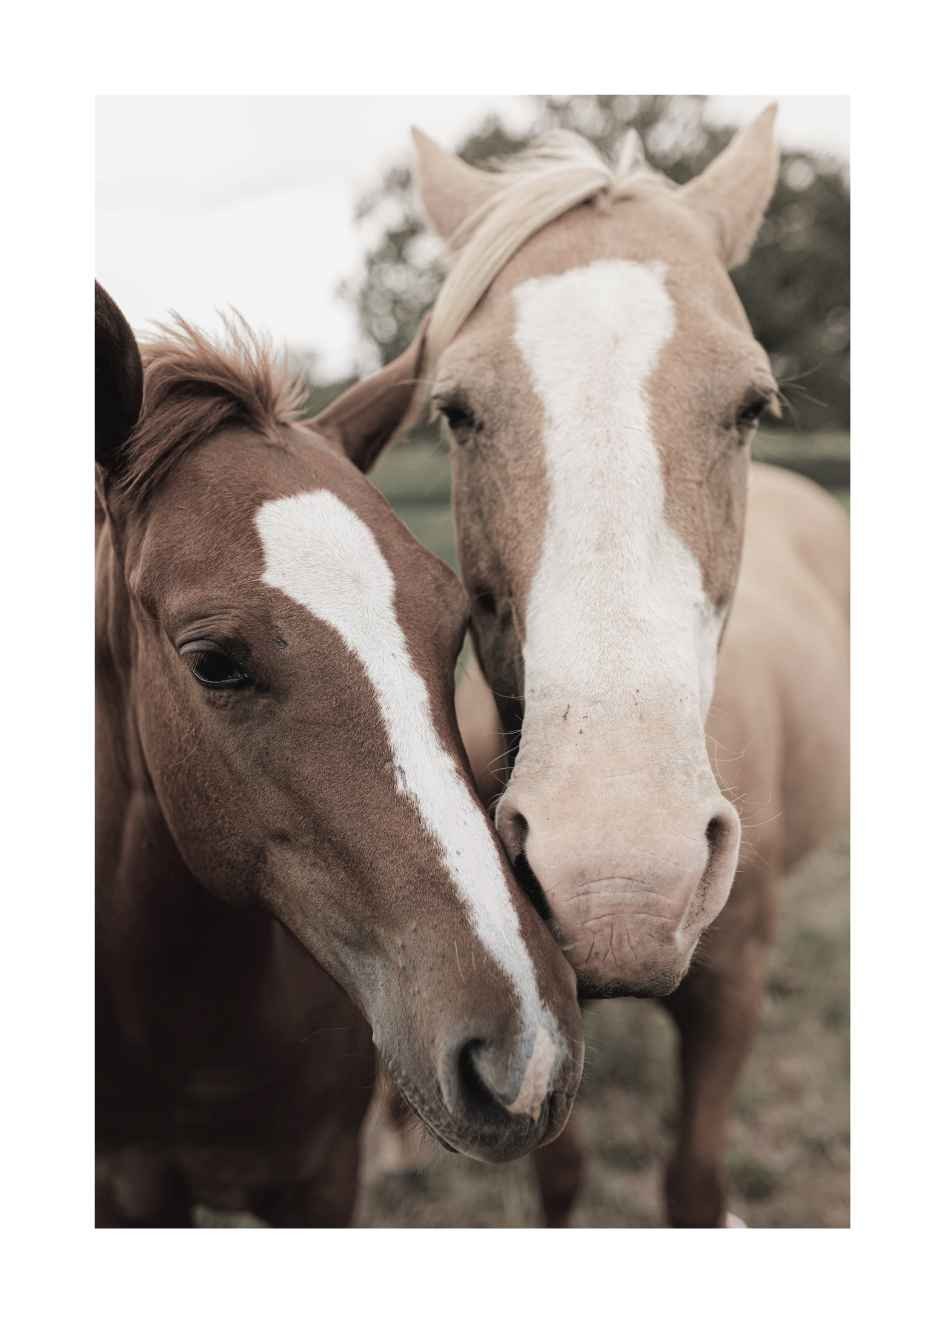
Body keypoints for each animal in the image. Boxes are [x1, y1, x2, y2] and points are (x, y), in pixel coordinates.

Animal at [315, 105, 847, 1227]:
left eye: (752, 406)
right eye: (456, 411)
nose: (621, 883)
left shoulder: (733, 995)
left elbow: (692, 1181)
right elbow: (558, 1173)